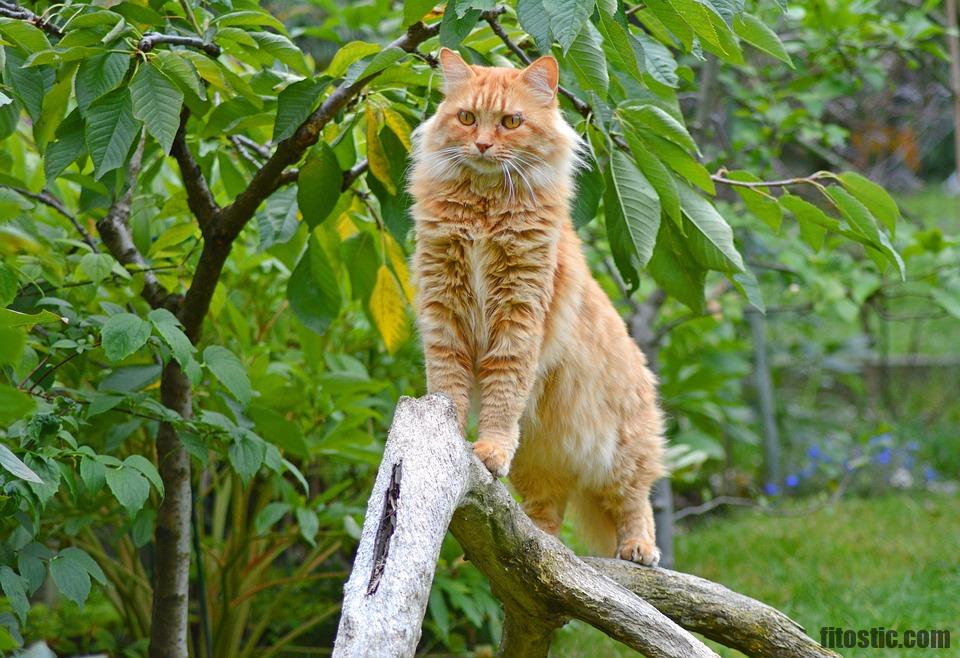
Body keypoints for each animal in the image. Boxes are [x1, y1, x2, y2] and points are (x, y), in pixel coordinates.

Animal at [408, 47, 664, 564]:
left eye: (511, 122)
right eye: (467, 118)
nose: (483, 145)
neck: (483, 214)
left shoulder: (519, 316)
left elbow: (503, 395)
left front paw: (489, 448)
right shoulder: (443, 311)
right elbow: (448, 386)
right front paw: (451, 435)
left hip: (621, 452)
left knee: (635, 500)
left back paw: (638, 548)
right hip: (541, 463)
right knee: (543, 520)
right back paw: (538, 547)